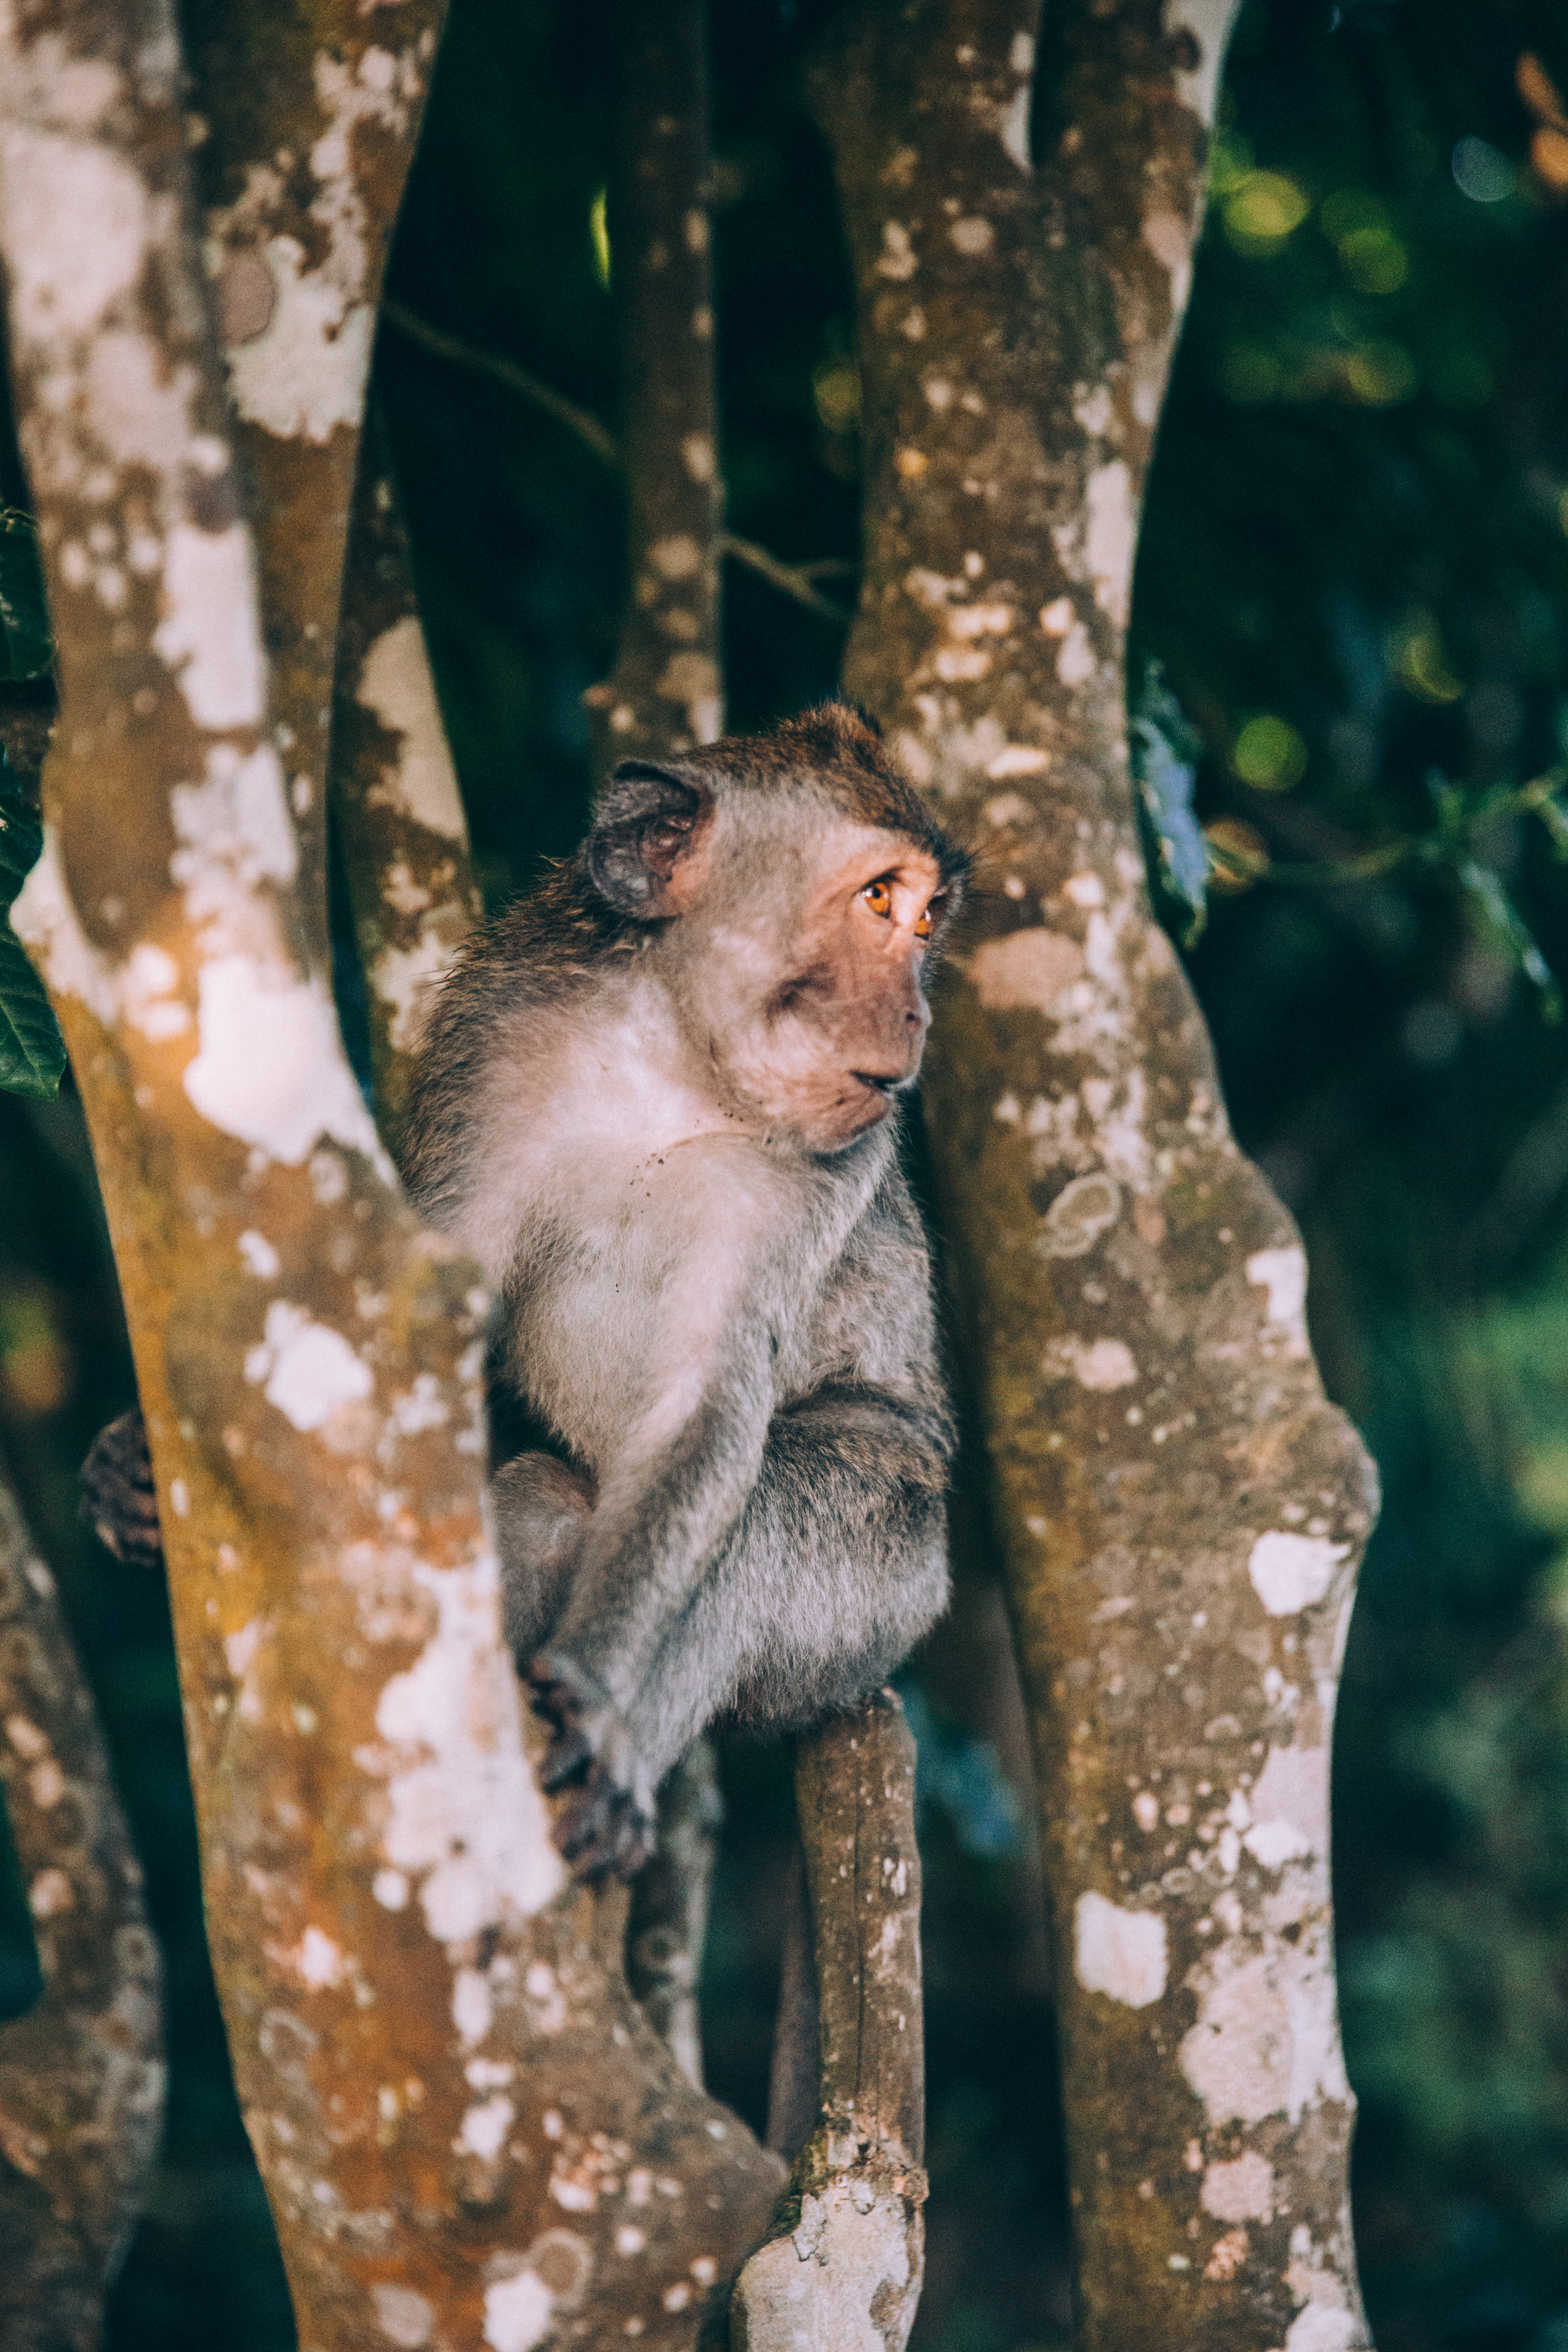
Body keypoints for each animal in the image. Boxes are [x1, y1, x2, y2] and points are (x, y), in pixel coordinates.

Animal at [402, 705, 968, 1882]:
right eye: (878, 899)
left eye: (929, 916)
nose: (916, 1015)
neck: (670, 1058)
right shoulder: (495, 1042)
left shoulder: (826, 1168)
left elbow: (703, 1415)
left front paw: (595, 1700)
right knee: (542, 1501)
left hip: (893, 1574)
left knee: (762, 1515)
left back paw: (606, 1768)